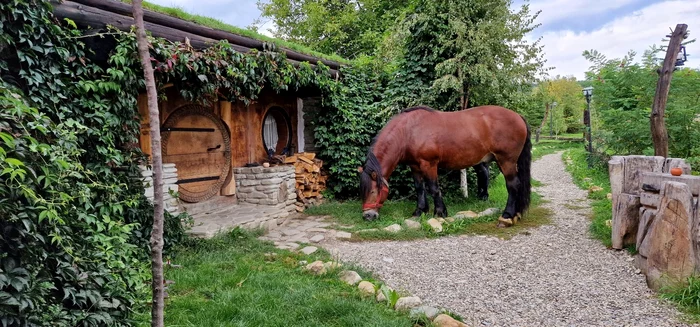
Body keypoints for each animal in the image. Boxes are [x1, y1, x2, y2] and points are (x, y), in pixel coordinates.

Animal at [360, 105, 532, 228]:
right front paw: (419, 211)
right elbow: (420, 188)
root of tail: (518, 116)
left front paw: (440, 212)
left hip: (506, 161)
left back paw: (507, 217)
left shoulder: (429, 164)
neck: (409, 131)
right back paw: (515, 214)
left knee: (513, 185)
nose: (367, 216)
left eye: (374, 191)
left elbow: (434, 188)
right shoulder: (415, 166)